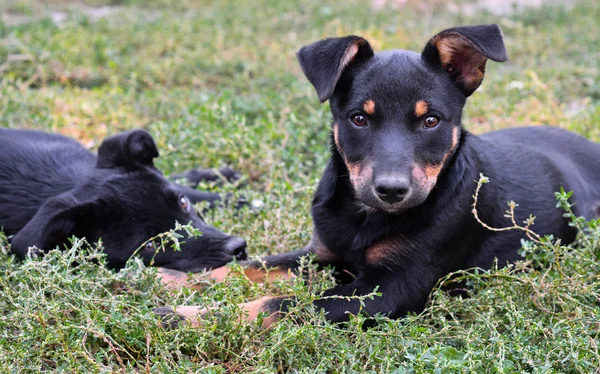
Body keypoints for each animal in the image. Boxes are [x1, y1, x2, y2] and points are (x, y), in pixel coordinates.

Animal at [157, 24, 600, 328]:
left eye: (431, 120)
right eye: (359, 118)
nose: (391, 190)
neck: (364, 216)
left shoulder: (393, 287)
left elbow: (281, 302)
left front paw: (183, 317)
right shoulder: (324, 253)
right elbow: (250, 266)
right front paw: (175, 280)